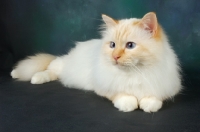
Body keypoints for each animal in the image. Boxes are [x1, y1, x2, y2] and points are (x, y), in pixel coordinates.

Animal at [10, 12, 181, 112]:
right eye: (112, 45)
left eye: (130, 45)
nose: (115, 57)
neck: (134, 73)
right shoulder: (104, 87)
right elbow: (122, 95)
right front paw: (129, 104)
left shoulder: (163, 86)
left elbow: (153, 99)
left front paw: (147, 104)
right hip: (62, 67)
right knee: (50, 69)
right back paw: (27, 76)